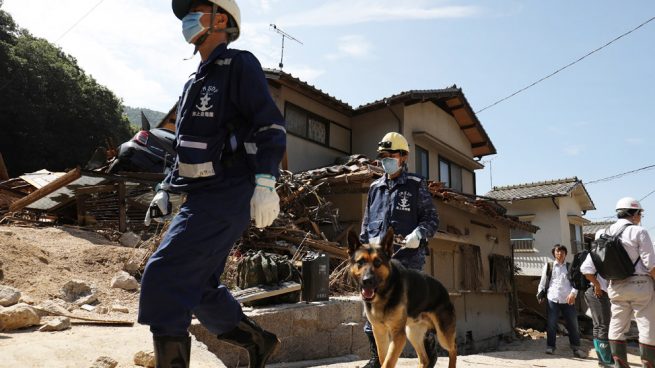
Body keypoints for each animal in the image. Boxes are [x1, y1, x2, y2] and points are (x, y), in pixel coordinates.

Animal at [348, 229, 456, 366]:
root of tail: (444, 290)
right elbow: (383, 358)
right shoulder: (379, 332)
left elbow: (388, 362)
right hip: (413, 333)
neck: (384, 294)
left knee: (453, 349)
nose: (367, 281)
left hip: (443, 335)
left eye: (377, 262)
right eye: (360, 262)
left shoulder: (398, 335)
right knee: (425, 359)